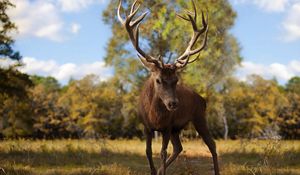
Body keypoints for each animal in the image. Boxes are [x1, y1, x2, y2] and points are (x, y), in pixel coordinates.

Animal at [118, 0, 220, 175]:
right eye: (158, 80)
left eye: (176, 79)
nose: (173, 103)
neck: (155, 116)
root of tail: (202, 99)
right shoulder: (147, 127)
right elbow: (148, 151)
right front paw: (154, 171)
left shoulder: (167, 126)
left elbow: (162, 153)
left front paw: (161, 169)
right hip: (177, 129)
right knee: (179, 147)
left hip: (198, 116)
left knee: (211, 144)